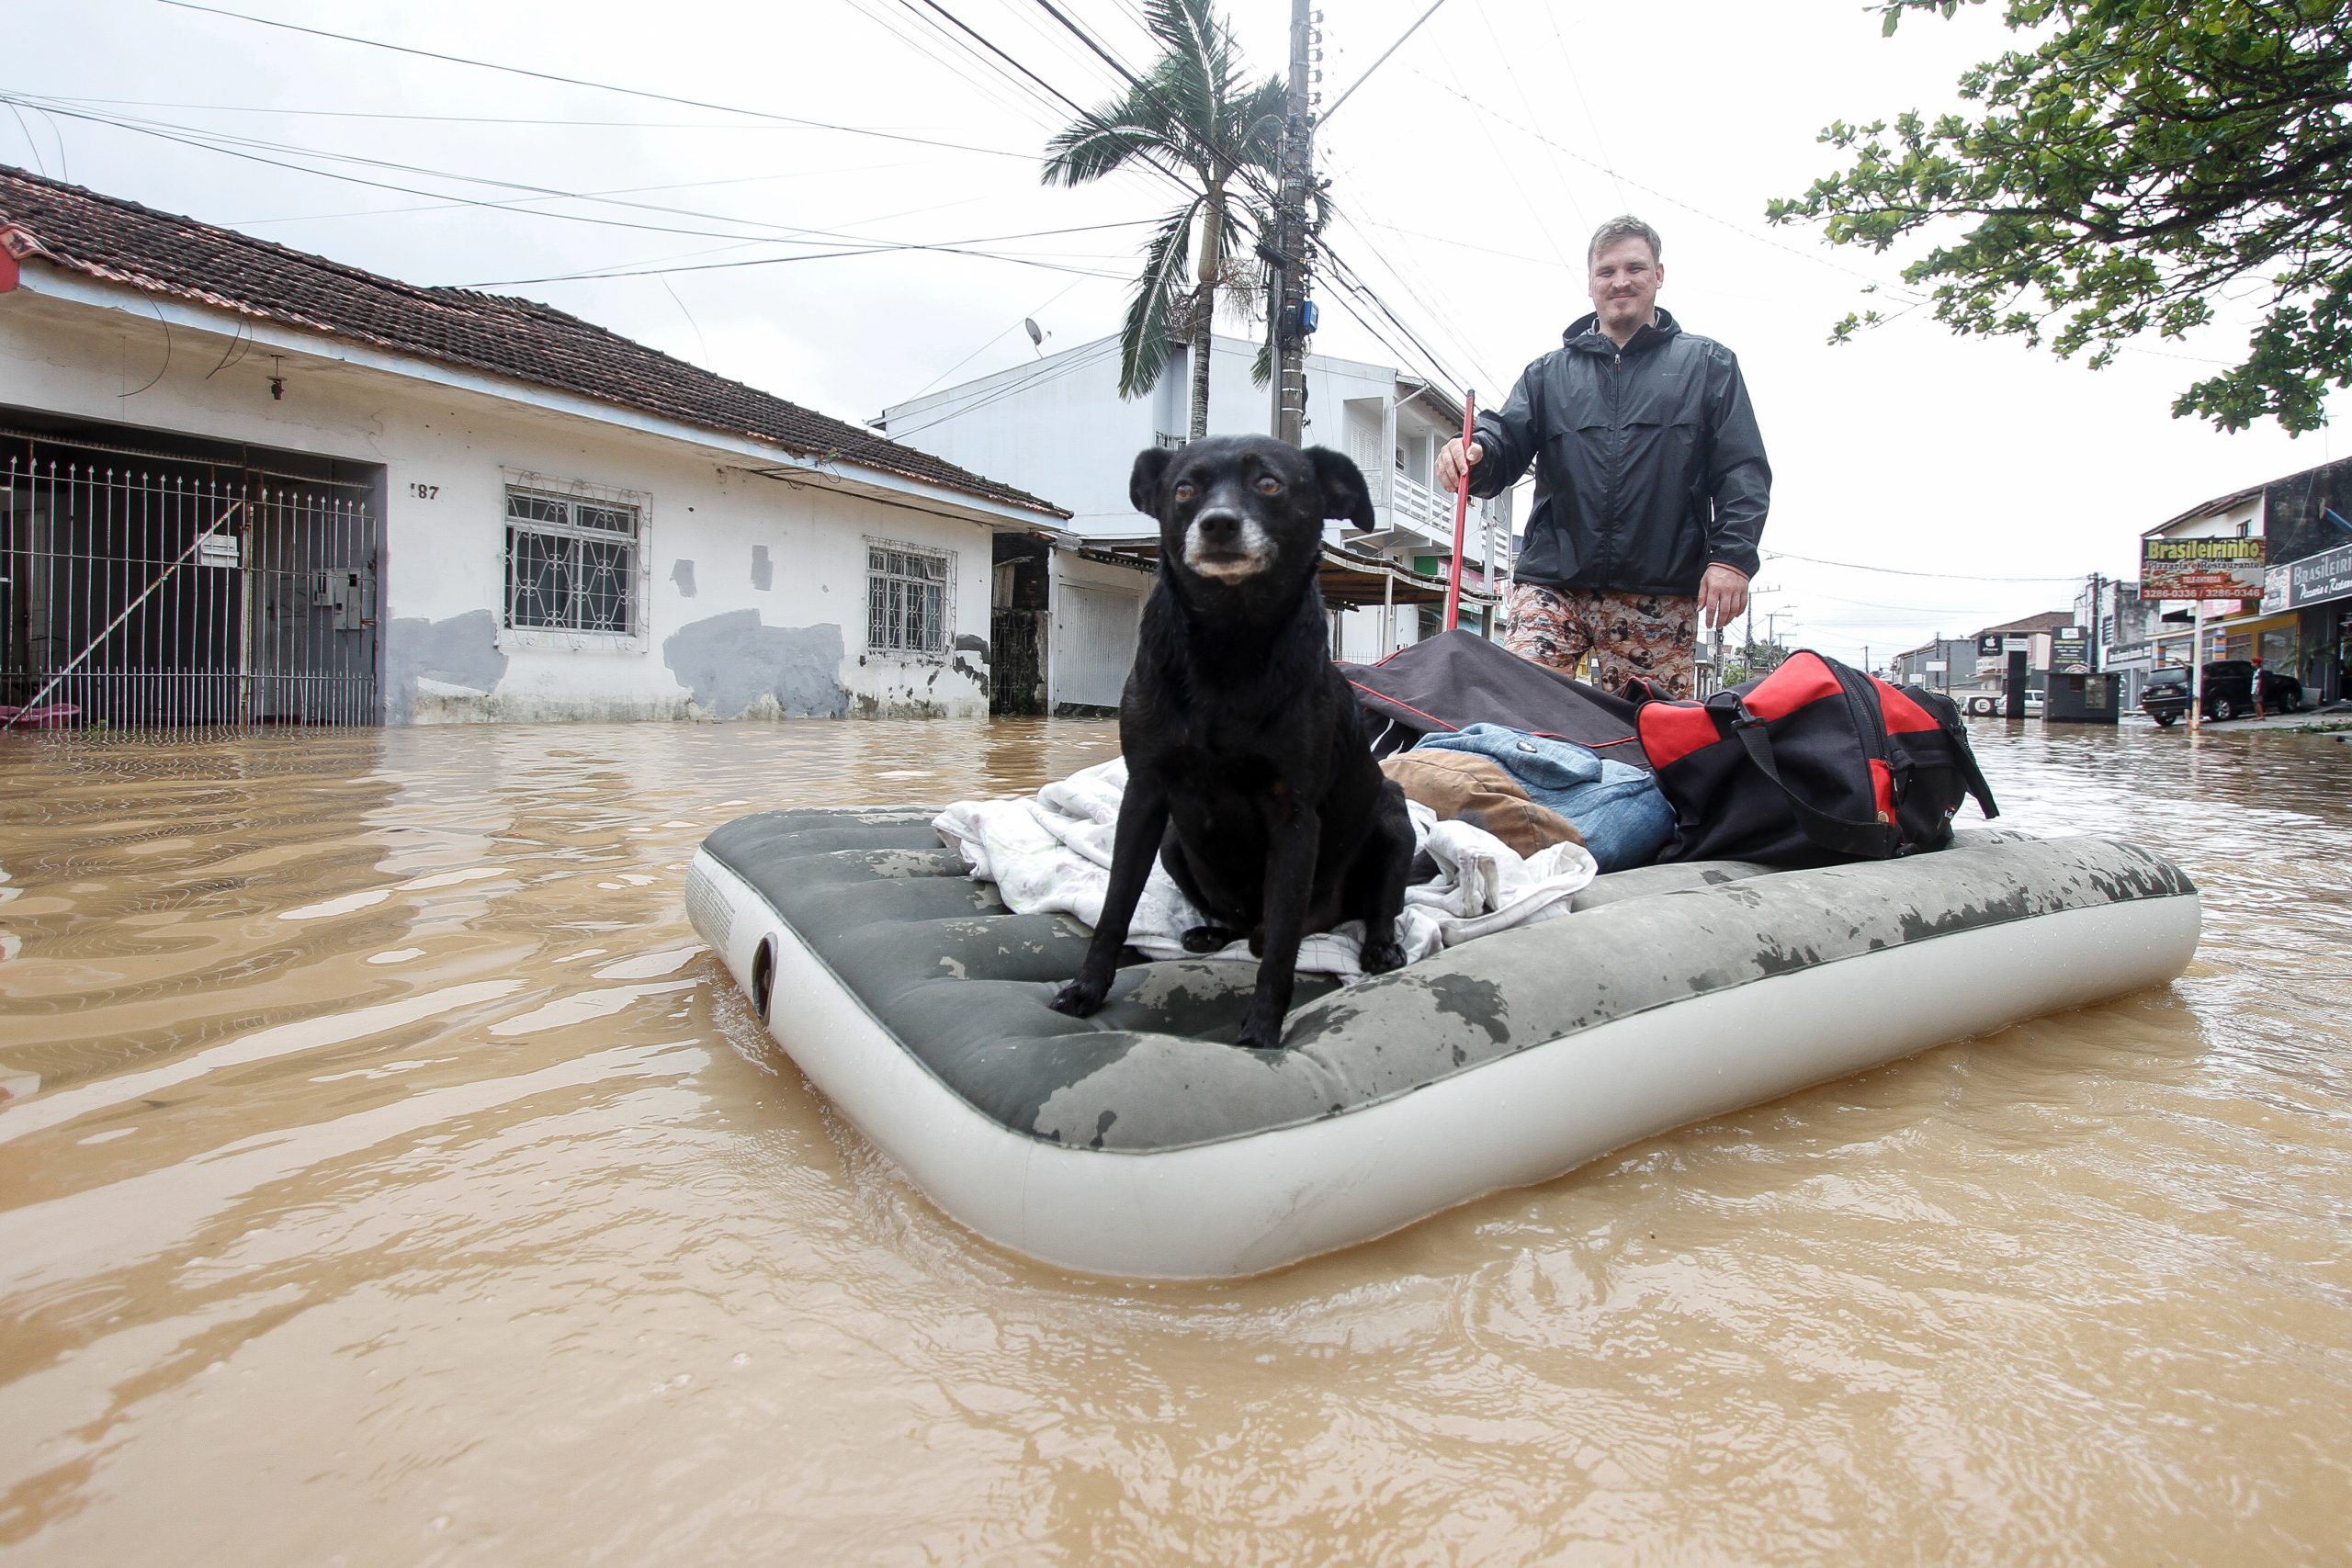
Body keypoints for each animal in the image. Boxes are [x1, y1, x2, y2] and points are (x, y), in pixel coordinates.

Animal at [1053, 439, 1411, 1053]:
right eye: (1183, 490)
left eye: (1269, 484)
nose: (1217, 524)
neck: (1228, 640)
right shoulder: (1144, 794)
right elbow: (1115, 906)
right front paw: (1087, 989)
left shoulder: (1294, 816)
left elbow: (1283, 946)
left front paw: (1263, 1028)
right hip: (1174, 844)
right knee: (1243, 924)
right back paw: (1210, 932)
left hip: (1393, 816)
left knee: (1369, 909)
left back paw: (1379, 946)